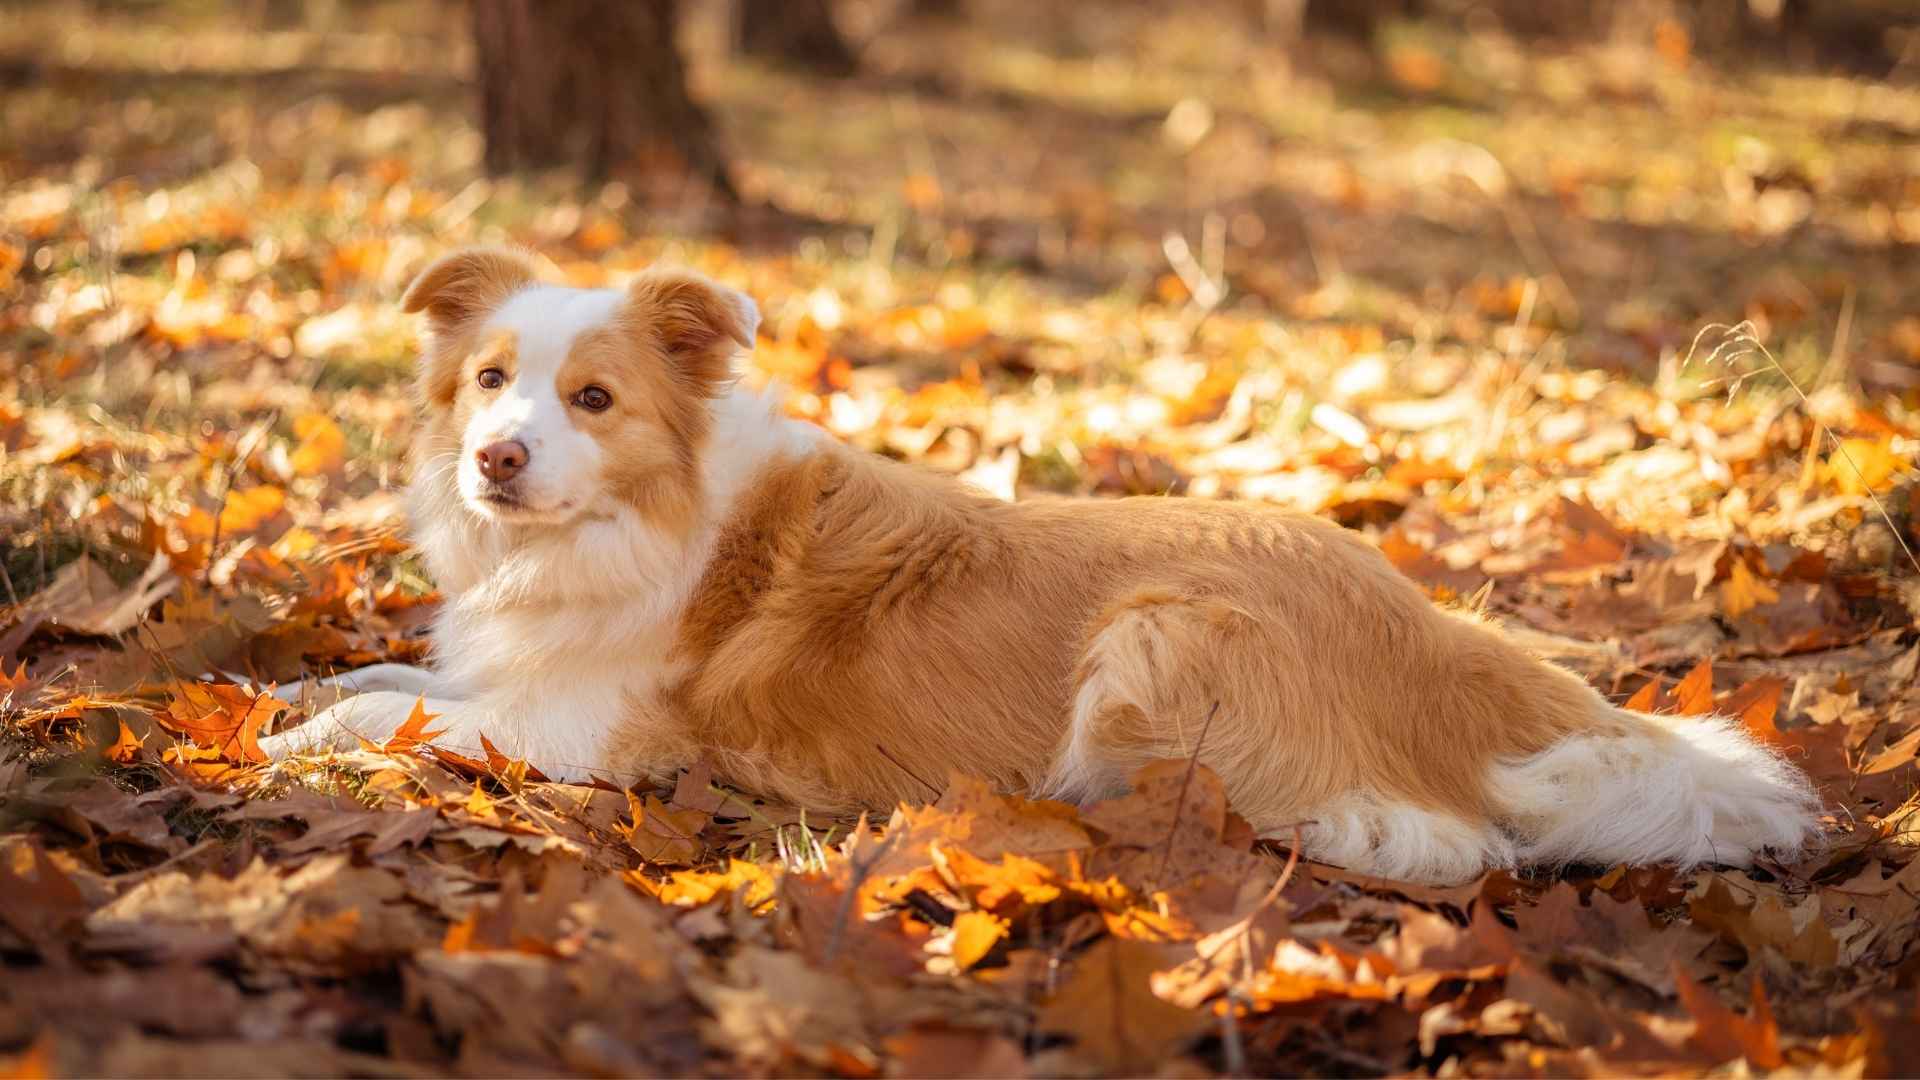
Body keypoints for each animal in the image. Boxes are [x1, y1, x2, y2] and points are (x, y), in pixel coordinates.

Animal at [263, 249, 1820, 883]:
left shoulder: (590, 731)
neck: (632, 523)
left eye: (592, 400)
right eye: (489, 381)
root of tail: (1432, 634)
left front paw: (288, 742)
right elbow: (380, 668)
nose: (495, 460)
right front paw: (278, 697)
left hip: (1154, 639)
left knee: (1427, 840)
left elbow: (393, 711)